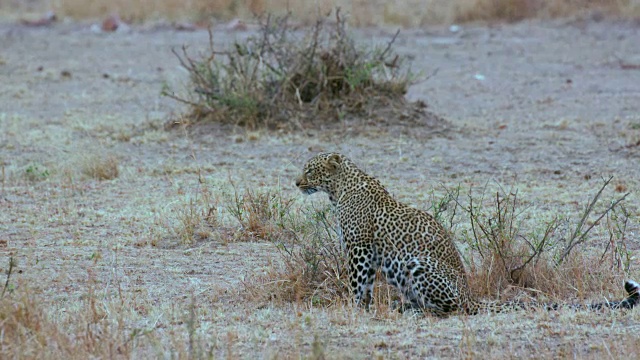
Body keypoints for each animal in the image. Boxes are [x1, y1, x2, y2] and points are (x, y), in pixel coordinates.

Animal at [296, 152, 640, 316]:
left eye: (310, 170)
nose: (296, 182)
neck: (339, 189)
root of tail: (471, 295)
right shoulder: (364, 251)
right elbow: (364, 287)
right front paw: (362, 308)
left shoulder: (359, 249)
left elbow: (358, 284)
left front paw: (354, 308)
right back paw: (405, 307)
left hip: (418, 264)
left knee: (453, 309)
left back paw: (417, 311)